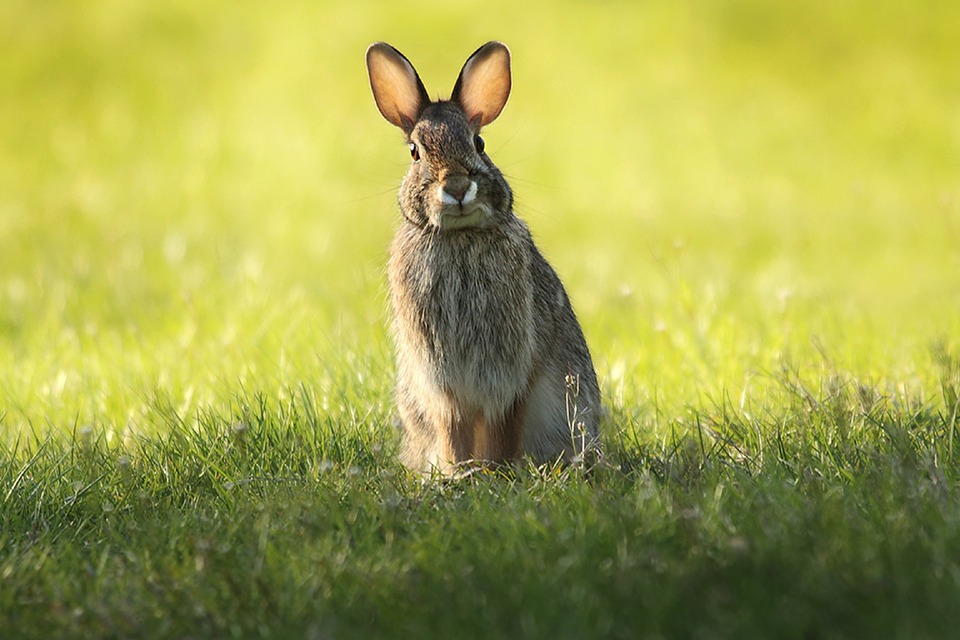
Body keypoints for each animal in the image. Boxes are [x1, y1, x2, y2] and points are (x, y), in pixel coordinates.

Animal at [368, 40, 600, 476]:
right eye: (415, 152)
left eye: (479, 144)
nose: (458, 187)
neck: (459, 237)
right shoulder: (440, 379)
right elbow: (452, 426)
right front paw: (458, 470)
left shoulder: (510, 373)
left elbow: (503, 423)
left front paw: (495, 470)